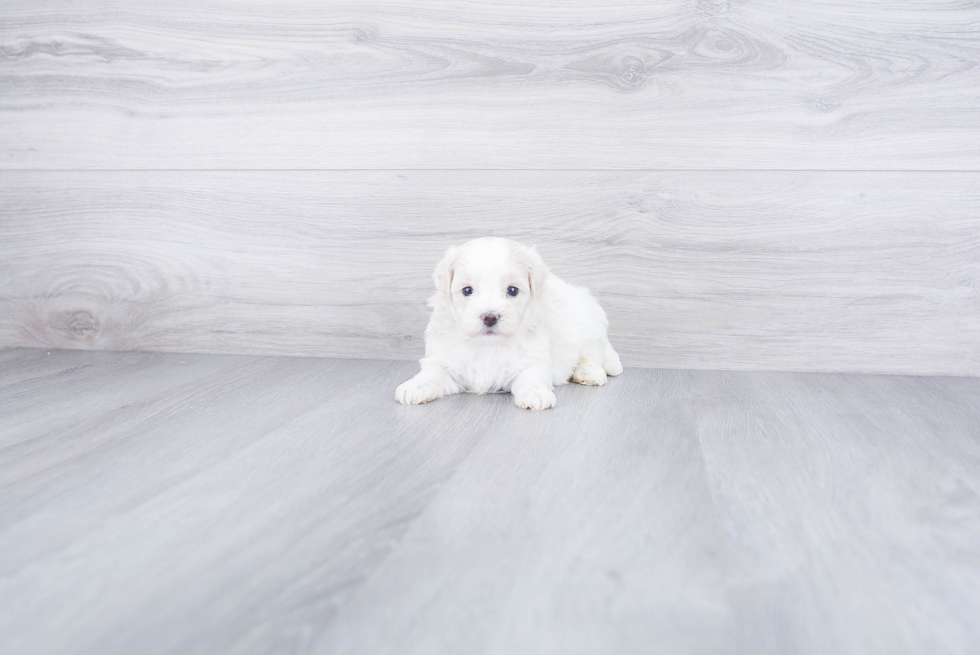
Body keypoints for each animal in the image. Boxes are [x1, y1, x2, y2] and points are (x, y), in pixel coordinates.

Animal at [396, 236, 620, 410]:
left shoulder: (533, 358)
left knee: (592, 356)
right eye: (467, 290)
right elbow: (431, 373)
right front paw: (414, 386)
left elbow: (532, 376)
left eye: (512, 290)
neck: (487, 345)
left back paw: (588, 372)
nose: (490, 316)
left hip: (589, 329)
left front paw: (535, 394)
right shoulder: (442, 358)